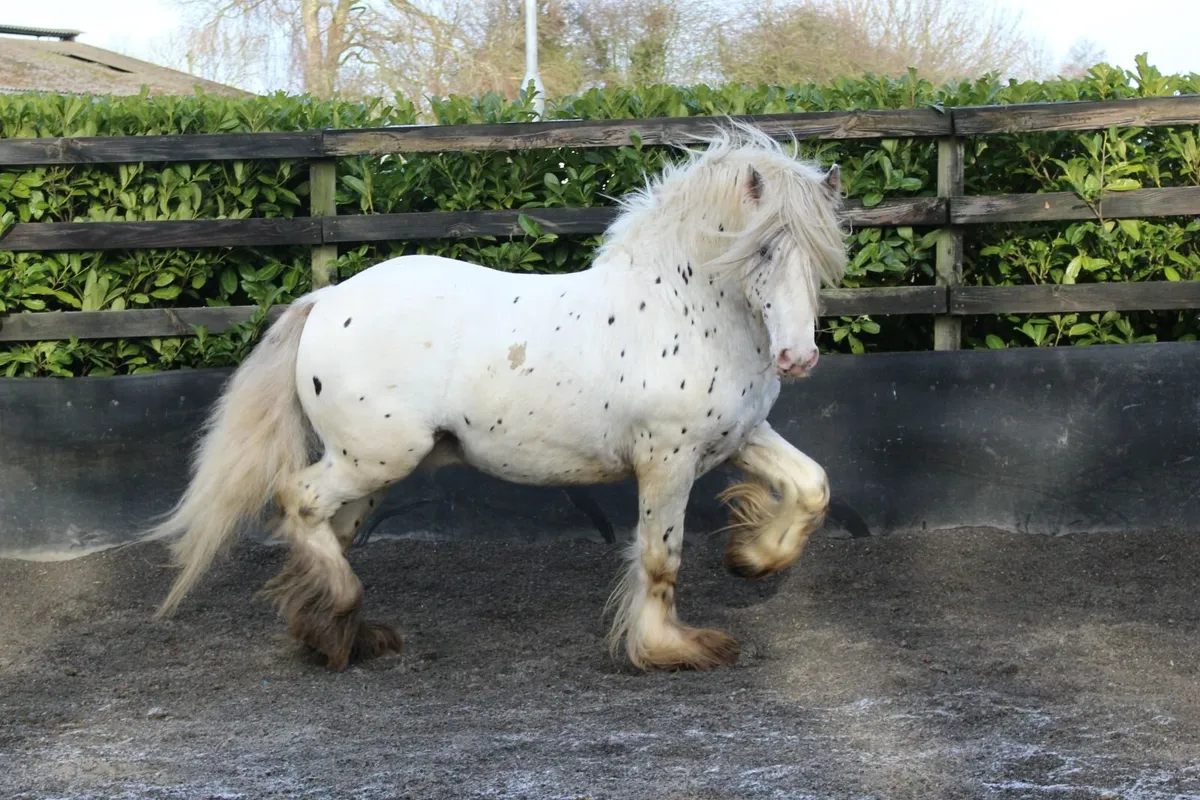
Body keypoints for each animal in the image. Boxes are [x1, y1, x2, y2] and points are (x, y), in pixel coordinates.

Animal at [147, 120, 849, 673]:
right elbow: (660, 558)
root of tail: (324, 300)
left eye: (818, 255)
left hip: (371, 468)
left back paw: (337, 635)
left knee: (327, 528)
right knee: (298, 500)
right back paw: (342, 623)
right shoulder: (666, 460)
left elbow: (813, 486)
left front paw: (752, 558)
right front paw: (671, 649)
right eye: (761, 250)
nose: (798, 358)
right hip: (376, 457)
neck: (682, 310)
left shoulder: (739, 436)